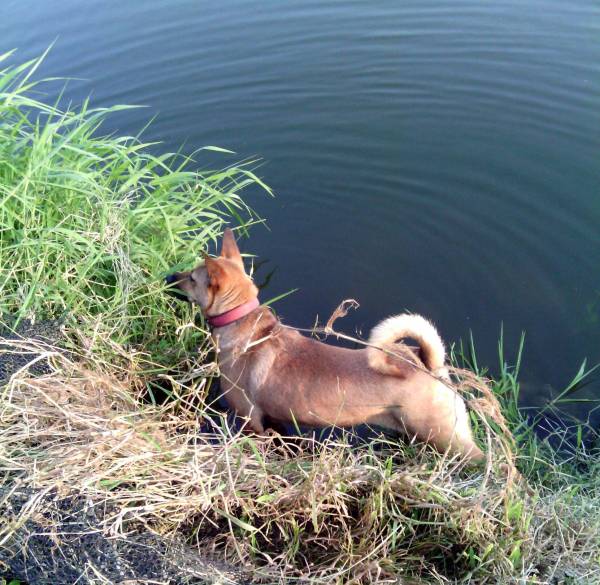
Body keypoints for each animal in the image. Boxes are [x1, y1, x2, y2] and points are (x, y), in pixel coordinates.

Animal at [166, 229, 484, 462]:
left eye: (192, 278)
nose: (169, 275)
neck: (245, 322)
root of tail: (429, 364)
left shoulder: (251, 422)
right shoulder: (273, 421)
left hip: (448, 437)